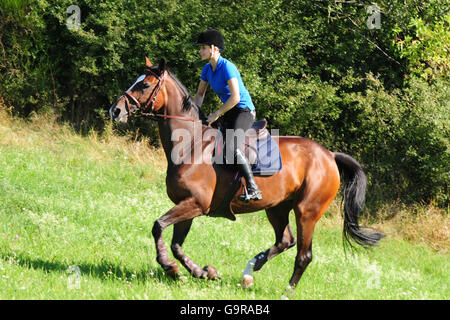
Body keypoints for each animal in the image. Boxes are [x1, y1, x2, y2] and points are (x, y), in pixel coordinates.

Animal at [109, 57, 384, 296]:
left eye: (144, 85)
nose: (115, 110)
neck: (191, 144)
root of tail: (329, 155)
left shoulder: (196, 203)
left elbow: (158, 226)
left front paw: (169, 266)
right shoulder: (187, 204)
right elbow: (176, 244)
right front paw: (202, 272)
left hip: (307, 211)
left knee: (303, 254)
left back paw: (285, 292)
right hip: (277, 207)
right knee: (285, 241)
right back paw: (249, 272)